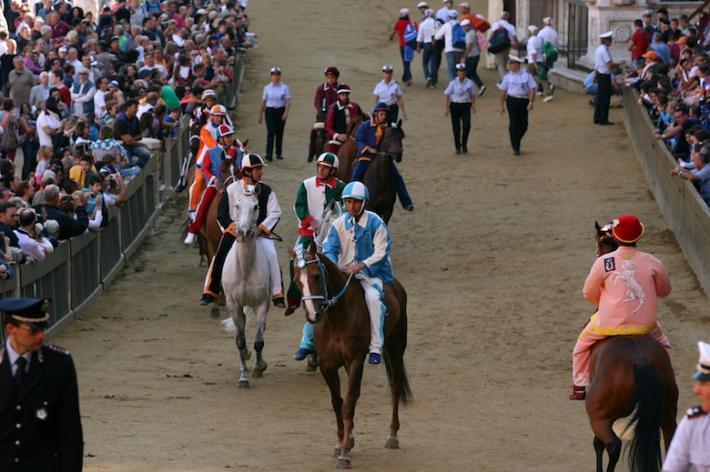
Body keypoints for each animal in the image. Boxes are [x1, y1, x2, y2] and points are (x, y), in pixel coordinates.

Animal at [221, 188, 272, 388]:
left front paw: (259, 367)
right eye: (237, 205)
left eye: (255, 206)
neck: (244, 269)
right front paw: (243, 377)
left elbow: (259, 341)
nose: (243, 232)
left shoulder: (262, 305)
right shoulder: (233, 305)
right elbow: (240, 342)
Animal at [290, 242, 412, 470]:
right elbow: (338, 402)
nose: (313, 315)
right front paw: (341, 442)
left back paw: (392, 435)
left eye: (316, 276)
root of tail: (395, 284)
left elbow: (348, 404)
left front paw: (345, 452)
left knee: (395, 385)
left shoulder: (355, 361)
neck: (336, 317)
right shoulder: (327, 365)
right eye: (296, 280)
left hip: (395, 346)